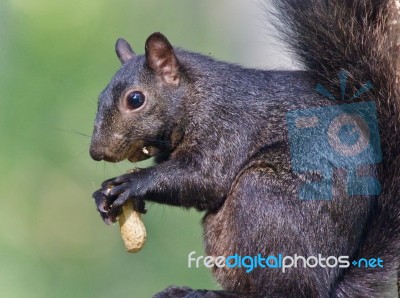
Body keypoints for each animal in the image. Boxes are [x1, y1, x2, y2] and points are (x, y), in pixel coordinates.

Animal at [90, 1, 400, 296]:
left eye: (136, 99)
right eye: (100, 97)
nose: (96, 152)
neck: (196, 95)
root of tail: (332, 284)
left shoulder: (227, 126)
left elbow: (203, 180)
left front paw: (133, 183)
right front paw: (104, 193)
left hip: (265, 198)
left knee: (288, 291)